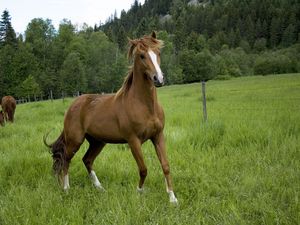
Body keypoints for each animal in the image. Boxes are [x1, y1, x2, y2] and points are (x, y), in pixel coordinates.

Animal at [43, 32, 177, 204]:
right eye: (141, 55)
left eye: (158, 53)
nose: (158, 79)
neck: (145, 106)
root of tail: (73, 105)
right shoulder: (133, 140)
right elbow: (143, 169)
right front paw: (139, 191)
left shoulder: (158, 136)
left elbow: (166, 166)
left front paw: (172, 199)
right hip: (75, 140)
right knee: (66, 159)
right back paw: (66, 189)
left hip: (97, 142)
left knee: (87, 160)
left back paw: (100, 188)